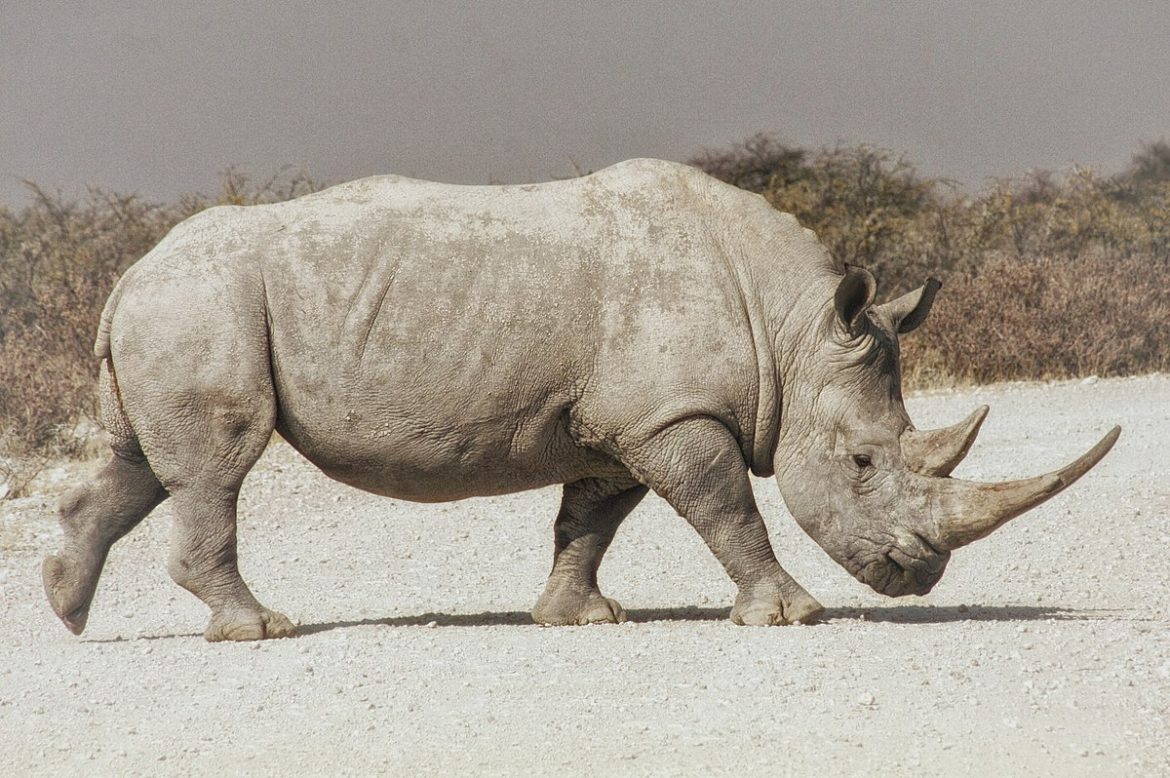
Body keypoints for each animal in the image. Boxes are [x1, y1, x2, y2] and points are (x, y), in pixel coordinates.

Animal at [43, 159, 1119, 641]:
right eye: (861, 462)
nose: (919, 574)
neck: (792, 329)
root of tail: (126, 275)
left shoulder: (622, 421)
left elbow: (590, 519)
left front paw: (580, 618)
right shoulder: (672, 416)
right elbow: (728, 509)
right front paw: (791, 615)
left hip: (184, 307)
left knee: (144, 463)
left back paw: (65, 607)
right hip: (201, 304)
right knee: (215, 465)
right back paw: (261, 629)